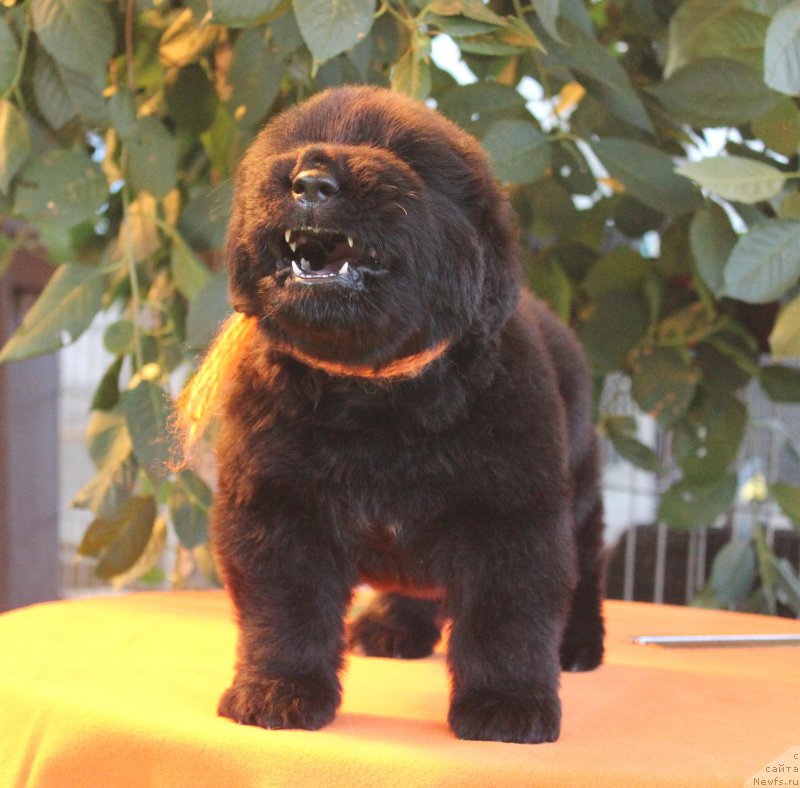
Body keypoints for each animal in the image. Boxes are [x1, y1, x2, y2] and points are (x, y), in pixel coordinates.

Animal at [209, 86, 604, 744]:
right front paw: (278, 691)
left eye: (407, 160)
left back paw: (578, 644)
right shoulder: (277, 509)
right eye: (291, 145)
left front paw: (507, 704)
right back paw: (395, 625)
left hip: (580, 492)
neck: (375, 395)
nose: (311, 182)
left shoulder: (512, 515)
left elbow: (509, 618)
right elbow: (284, 610)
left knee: (587, 568)